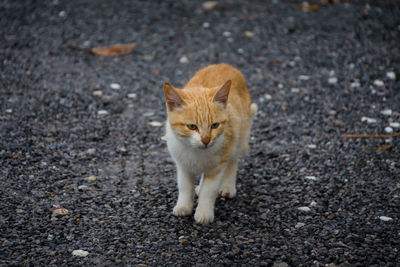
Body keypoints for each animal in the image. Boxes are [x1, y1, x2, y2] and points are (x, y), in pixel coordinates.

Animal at [164, 63, 258, 225]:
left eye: (215, 125)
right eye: (192, 127)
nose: (206, 140)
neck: (196, 152)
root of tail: (225, 64)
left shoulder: (218, 165)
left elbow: (209, 191)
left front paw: (203, 213)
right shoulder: (182, 164)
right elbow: (184, 187)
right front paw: (184, 206)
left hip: (239, 137)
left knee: (233, 161)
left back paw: (227, 186)